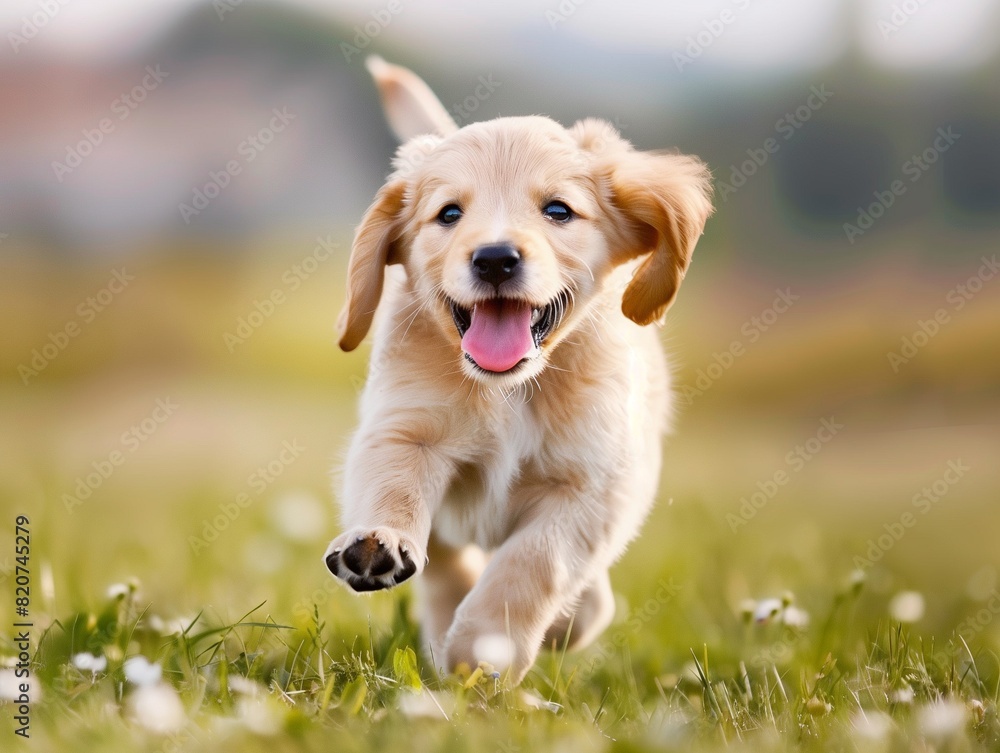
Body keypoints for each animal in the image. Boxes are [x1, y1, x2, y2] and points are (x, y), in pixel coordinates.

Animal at [324, 57, 716, 680]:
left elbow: (532, 565)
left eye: (558, 210)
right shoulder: (404, 429)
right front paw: (379, 542)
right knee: (447, 564)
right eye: (449, 214)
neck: (510, 391)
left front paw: (485, 649)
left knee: (587, 600)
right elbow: (395, 489)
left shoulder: (591, 489)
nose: (494, 259)